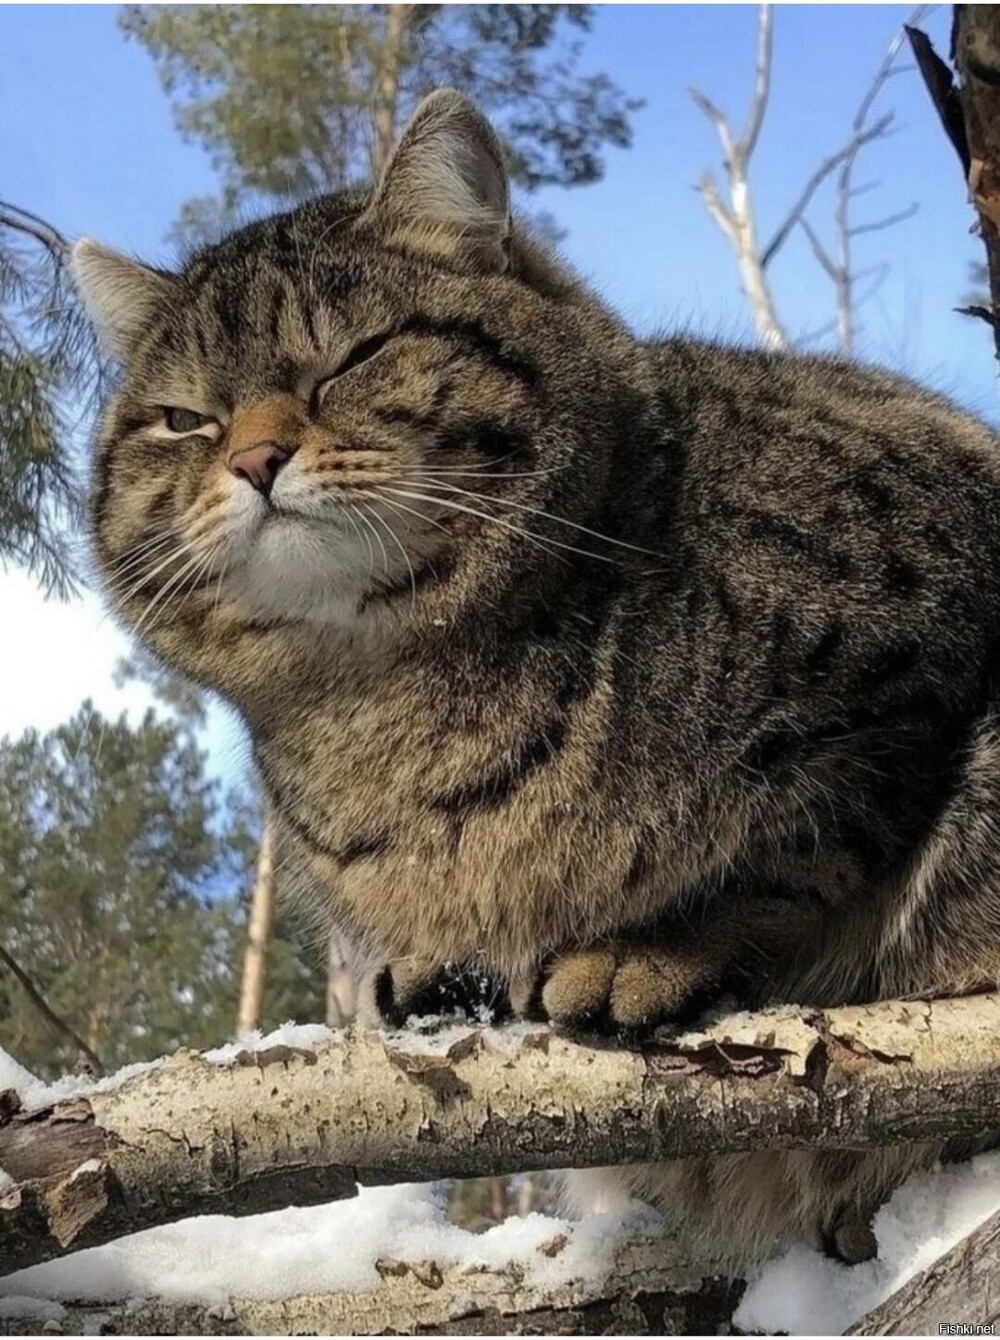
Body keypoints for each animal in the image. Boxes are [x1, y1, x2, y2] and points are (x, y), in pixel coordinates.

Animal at [73, 88, 1000, 1272]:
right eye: (184, 418)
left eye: (355, 357)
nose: (252, 458)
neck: (390, 704)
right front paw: (442, 965)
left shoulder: (908, 669)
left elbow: (796, 849)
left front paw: (645, 947)